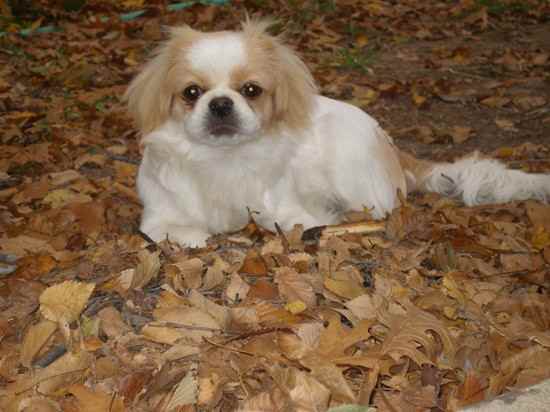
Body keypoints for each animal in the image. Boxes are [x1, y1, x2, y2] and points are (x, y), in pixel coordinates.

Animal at [127, 20, 550, 248]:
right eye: (191, 93)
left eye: (250, 90)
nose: (220, 104)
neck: (221, 160)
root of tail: (392, 146)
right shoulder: (158, 219)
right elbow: (182, 232)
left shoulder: (289, 210)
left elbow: (294, 222)